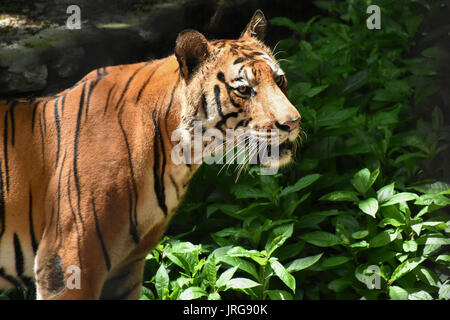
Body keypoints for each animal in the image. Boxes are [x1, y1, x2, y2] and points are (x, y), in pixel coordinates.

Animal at [0, 10, 302, 300]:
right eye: (243, 89)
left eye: (280, 79)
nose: (293, 123)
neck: (179, 156)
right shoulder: (69, 260)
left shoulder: (127, 267)